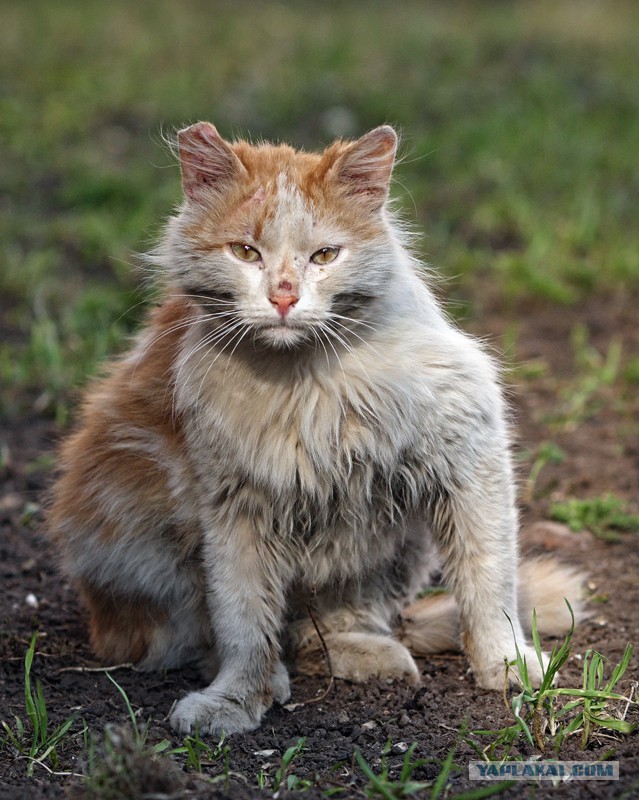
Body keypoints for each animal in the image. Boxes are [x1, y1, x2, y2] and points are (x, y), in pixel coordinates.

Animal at [47, 122, 584, 736]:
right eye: (245, 252)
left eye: (325, 255)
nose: (283, 295)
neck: (307, 383)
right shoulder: (233, 508)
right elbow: (242, 621)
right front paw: (236, 700)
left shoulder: (471, 457)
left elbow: (490, 581)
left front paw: (507, 664)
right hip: (146, 551)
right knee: (216, 635)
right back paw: (277, 679)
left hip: (395, 544)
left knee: (324, 628)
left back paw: (370, 655)